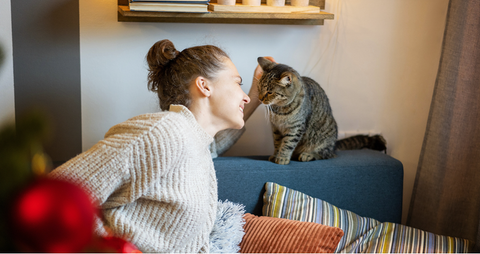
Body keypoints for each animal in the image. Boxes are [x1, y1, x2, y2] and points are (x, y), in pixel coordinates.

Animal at [256, 57, 384, 165]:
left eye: (269, 92)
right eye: (259, 88)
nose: (260, 98)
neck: (279, 110)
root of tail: (334, 145)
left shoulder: (296, 128)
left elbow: (287, 144)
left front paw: (282, 157)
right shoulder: (276, 128)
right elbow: (277, 143)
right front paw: (275, 155)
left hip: (323, 140)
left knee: (325, 154)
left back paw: (308, 155)